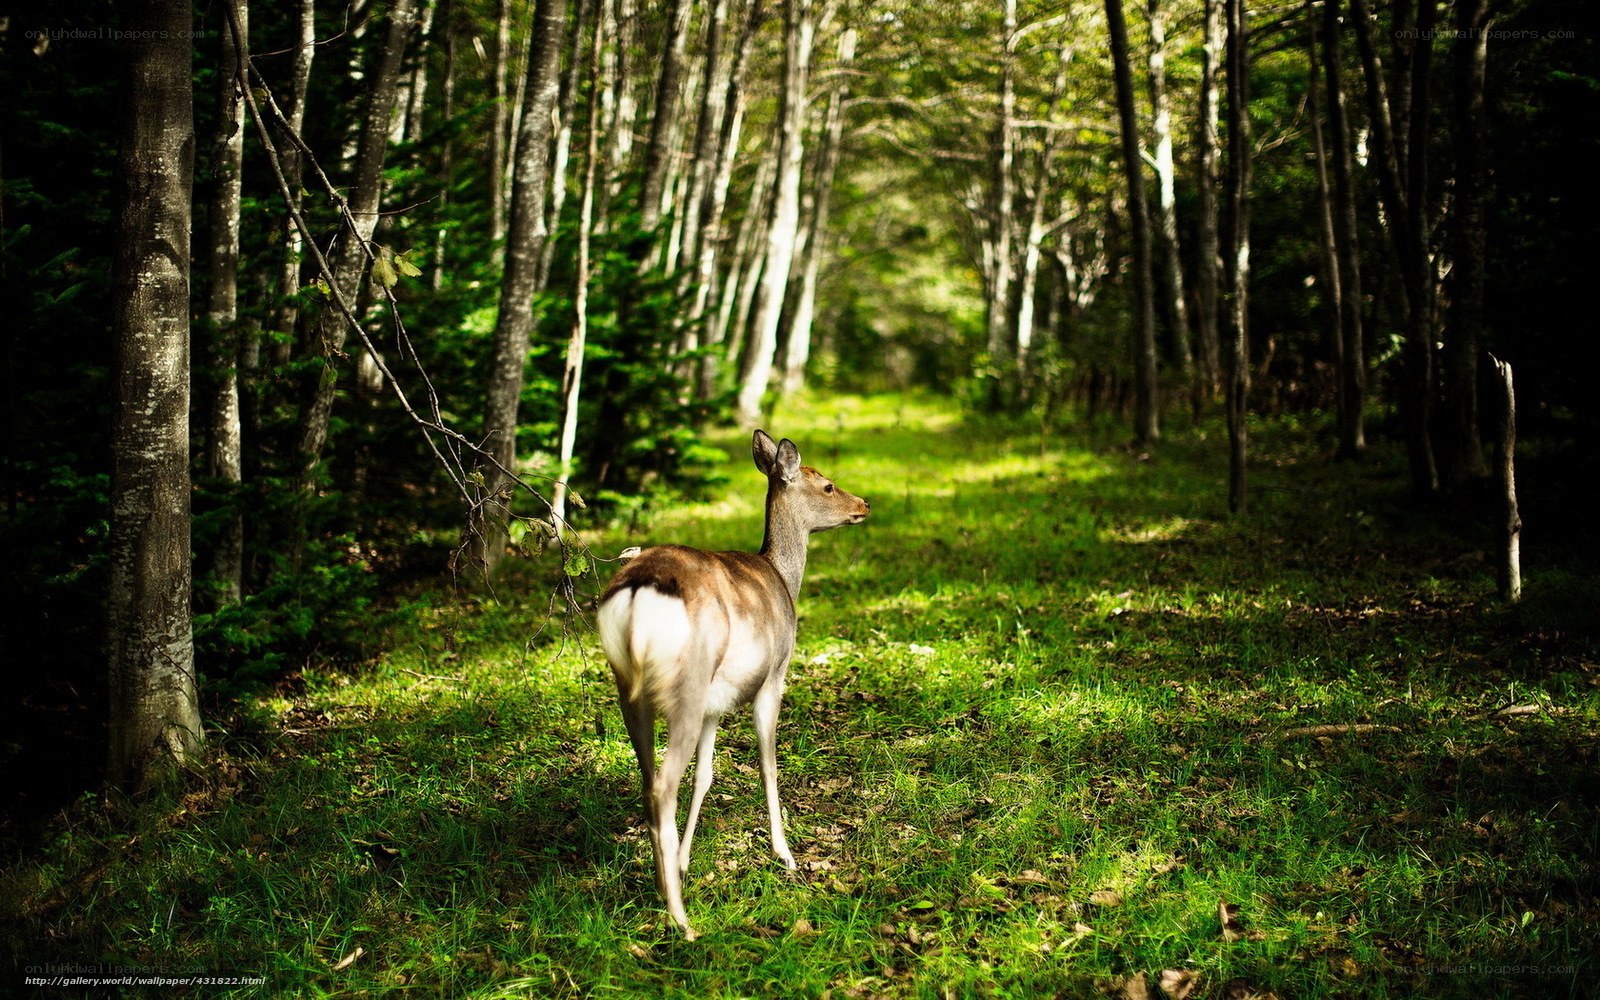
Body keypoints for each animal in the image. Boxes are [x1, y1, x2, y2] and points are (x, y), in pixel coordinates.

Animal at [597, 429, 870, 939]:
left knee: (649, 781)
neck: (783, 579)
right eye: (827, 484)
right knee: (662, 785)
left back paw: (666, 886)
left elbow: (705, 775)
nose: (863, 504)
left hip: (629, 686)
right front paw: (785, 854)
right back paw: (681, 920)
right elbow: (768, 763)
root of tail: (639, 587)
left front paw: (686, 861)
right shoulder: (774, 675)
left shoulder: (715, 704)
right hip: (686, 683)